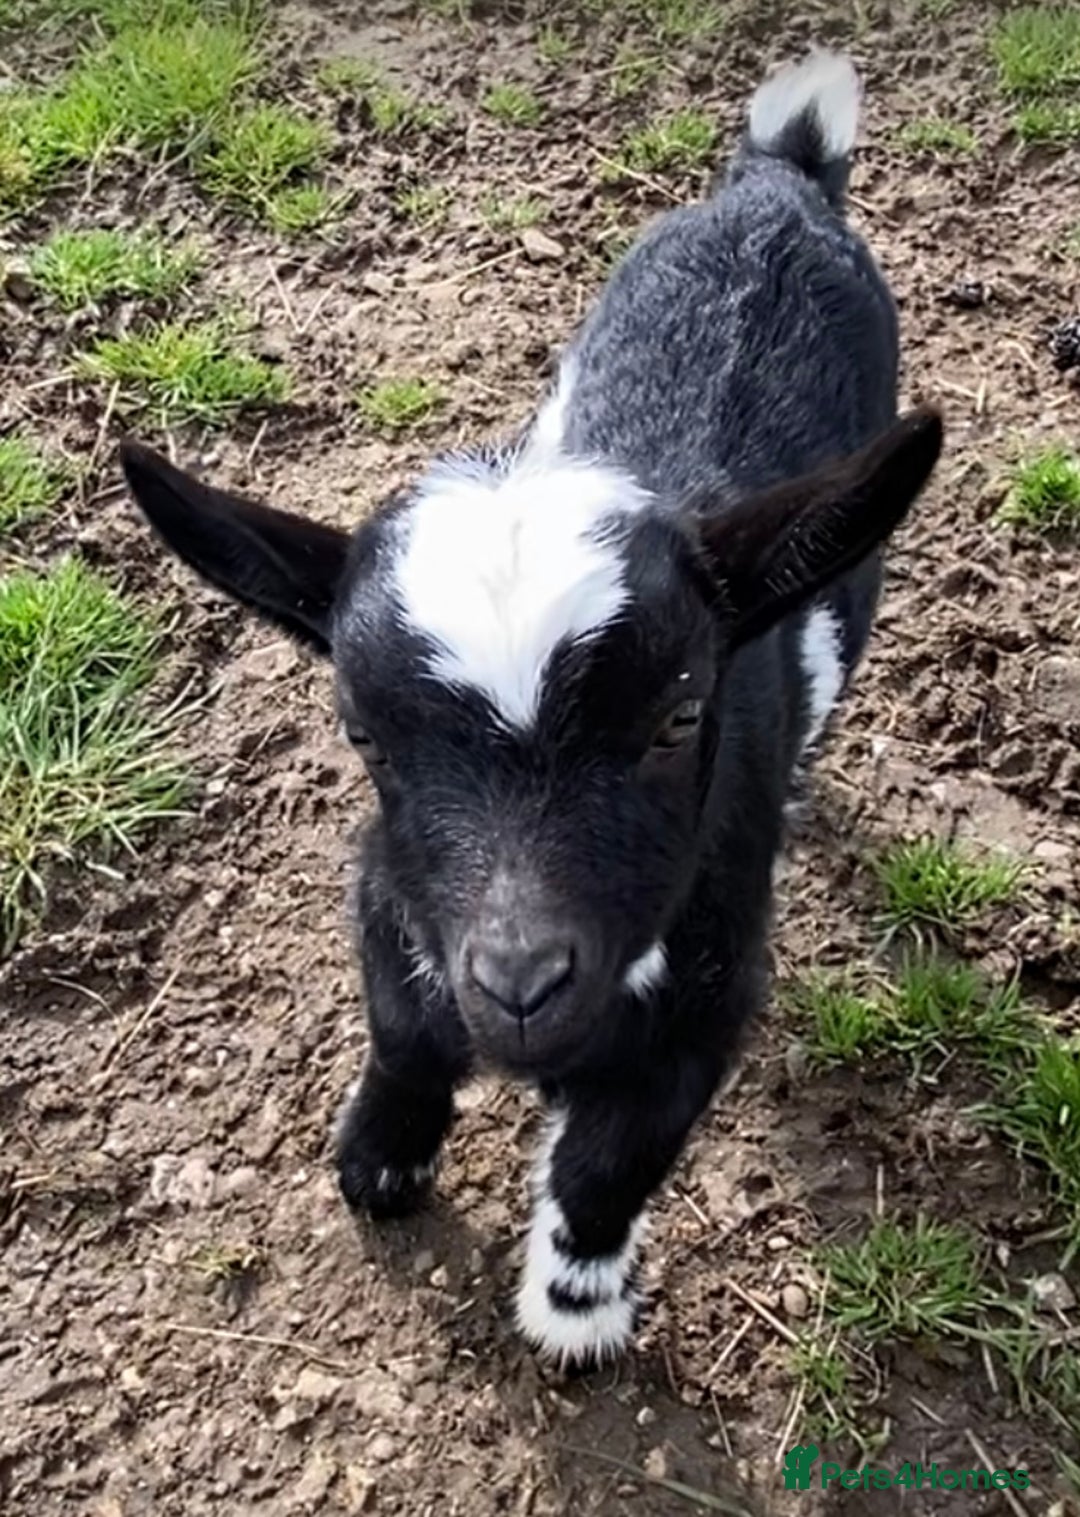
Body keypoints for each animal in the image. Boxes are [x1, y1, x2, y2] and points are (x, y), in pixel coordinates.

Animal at [120, 49, 943, 1369]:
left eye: (678, 718)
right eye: (362, 732)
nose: (516, 981)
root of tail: (782, 185)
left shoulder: (709, 986)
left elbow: (614, 1157)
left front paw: (576, 1308)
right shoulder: (392, 900)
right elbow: (403, 1031)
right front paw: (377, 1159)